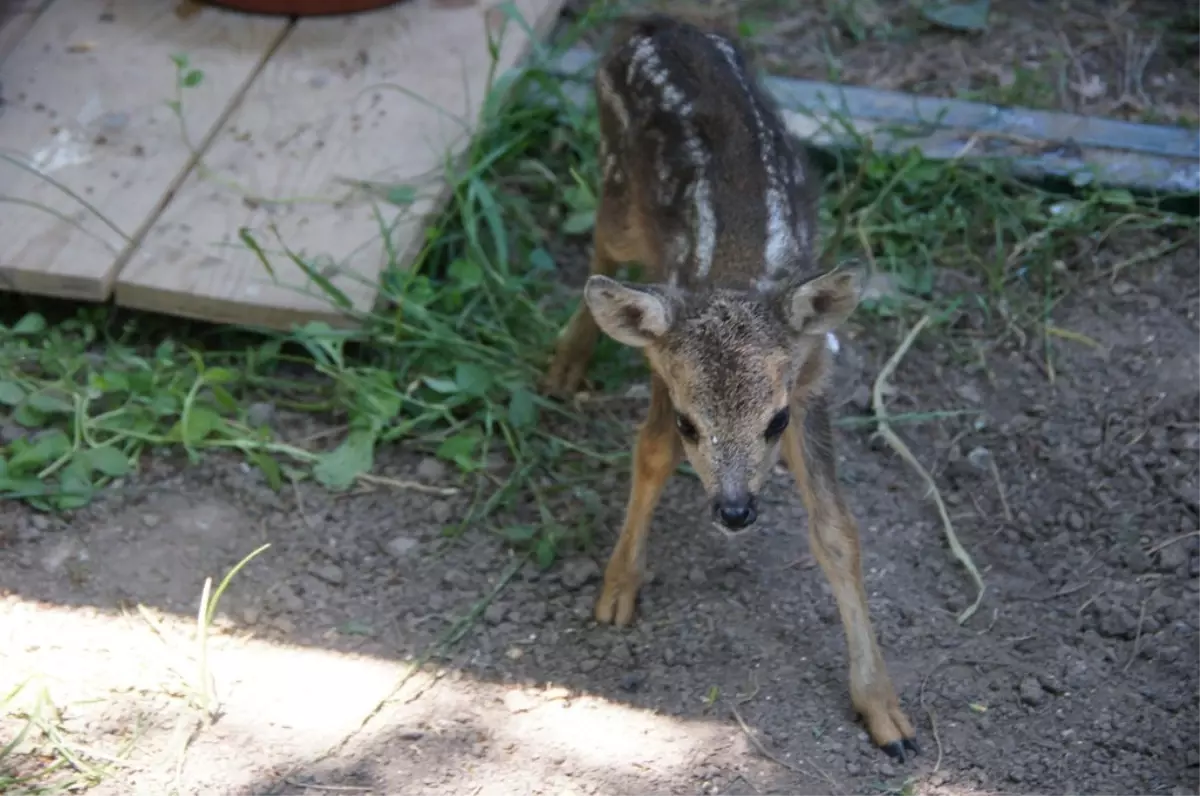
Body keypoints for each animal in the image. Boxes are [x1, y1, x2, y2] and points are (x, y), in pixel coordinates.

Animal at [544, 10, 916, 758]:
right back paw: (567, 362)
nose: (737, 511)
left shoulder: (810, 379)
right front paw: (617, 590)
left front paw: (885, 712)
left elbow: (838, 530)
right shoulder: (664, 369)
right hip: (617, 183)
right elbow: (651, 455)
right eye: (693, 422)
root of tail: (654, 23)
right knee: (600, 250)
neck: (738, 276)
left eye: (775, 421)